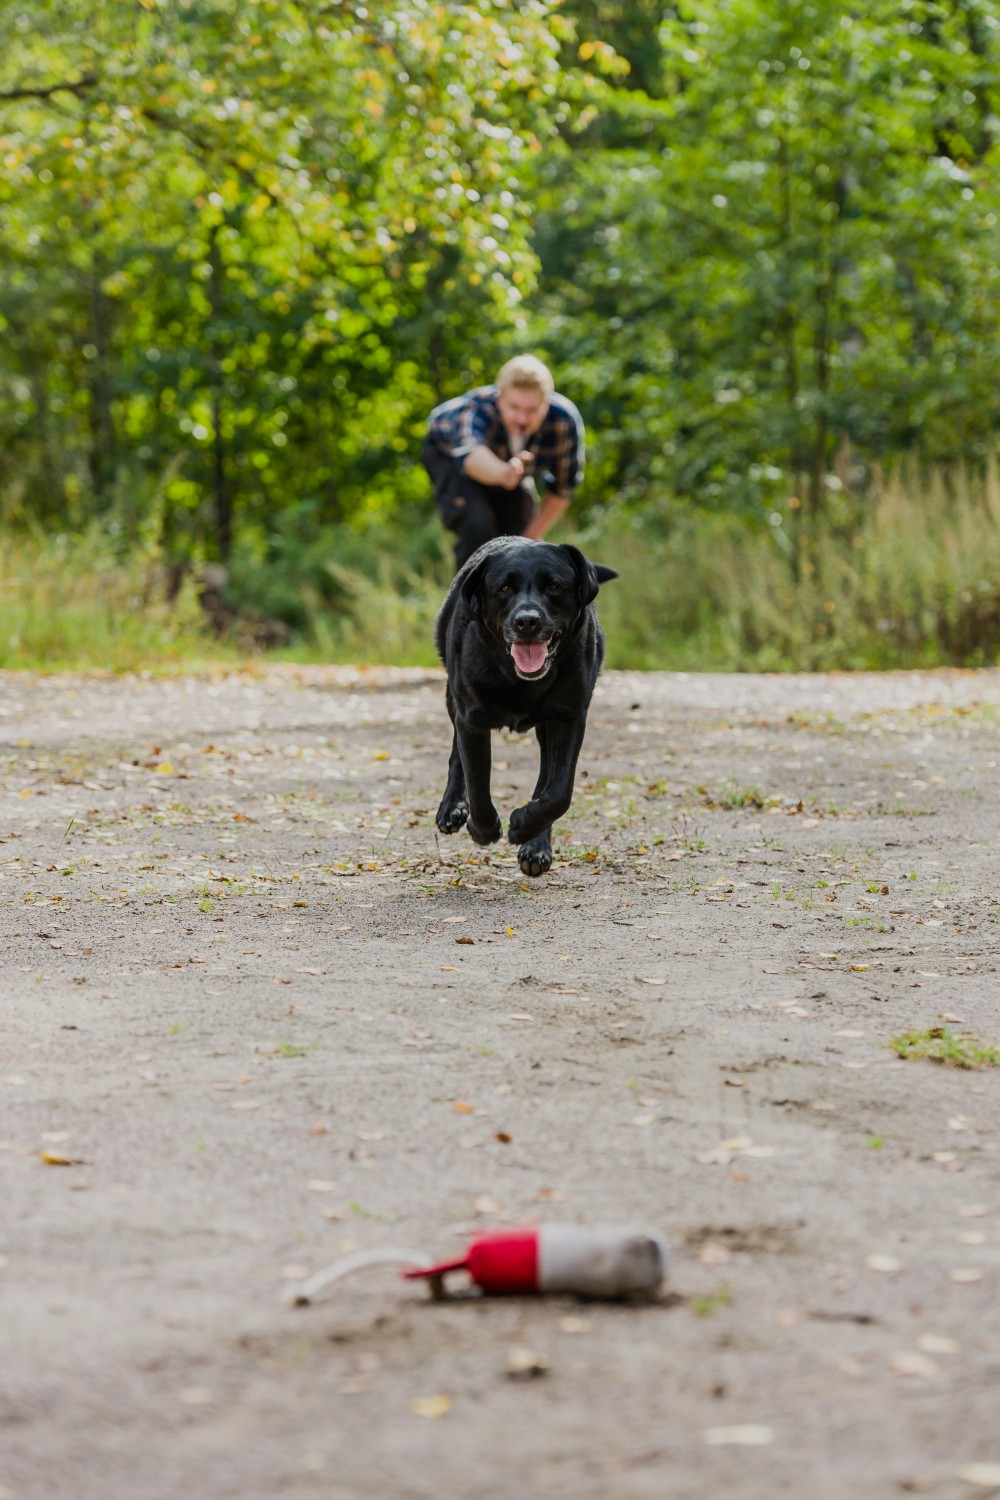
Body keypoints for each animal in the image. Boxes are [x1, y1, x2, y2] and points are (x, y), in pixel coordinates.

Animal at [434, 537, 617, 876]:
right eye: (504, 588)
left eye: (554, 586)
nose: (527, 621)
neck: (518, 680)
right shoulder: (471, 719)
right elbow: (477, 783)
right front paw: (482, 829)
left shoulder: (569, 717)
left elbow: (558, 792)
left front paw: (524, 827)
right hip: (453, 696)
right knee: (456, 756)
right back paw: (452, 808)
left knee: (547, 778)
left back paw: (535, 846)